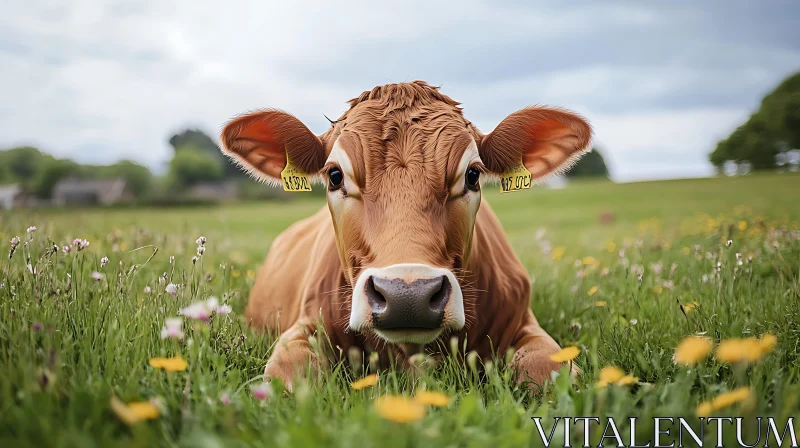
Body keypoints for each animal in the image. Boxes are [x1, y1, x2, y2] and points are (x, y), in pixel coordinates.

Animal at [222, 80, 592, 388]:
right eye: (335, 175)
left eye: (472, 175)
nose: (407, 296)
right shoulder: (303, 330)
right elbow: (286, 381)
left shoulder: (527, 327)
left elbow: (549, 371)